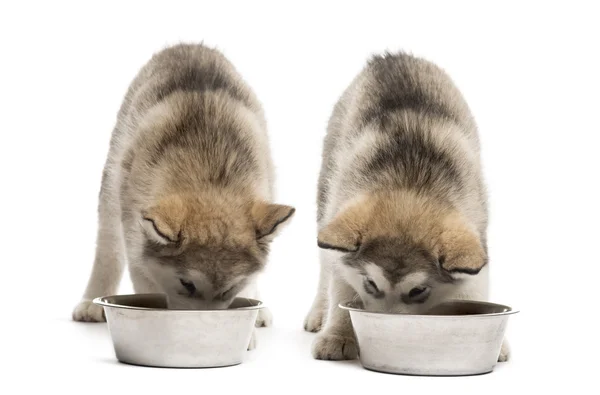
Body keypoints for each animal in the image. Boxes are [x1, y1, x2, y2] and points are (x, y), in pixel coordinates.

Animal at [73, 44, 296, 350]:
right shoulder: (138, 247)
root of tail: (190, 45)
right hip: (112, 184)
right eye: (187, 284)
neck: (209, 178)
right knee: (108, 247)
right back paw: (90, 301)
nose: (210, 335)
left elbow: (249, 284)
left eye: (229, 289)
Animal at [304, 52, 506, 362]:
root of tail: (393, 57)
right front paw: (338, 334)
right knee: (325, 268)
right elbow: (341, 291)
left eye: (418, 290)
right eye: (371, 284)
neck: (410, 189)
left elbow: (473, 291)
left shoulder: (474, 237)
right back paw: (318, 313)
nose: (384, 326)